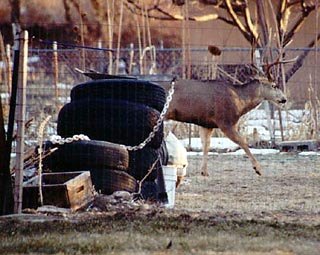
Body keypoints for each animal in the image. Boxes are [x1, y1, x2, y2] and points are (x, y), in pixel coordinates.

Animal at [159, 63, 288, 177]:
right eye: (274, 85)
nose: (284, 99)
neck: (240, 101)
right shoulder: (225, 121)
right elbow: (243, 142)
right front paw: (258, 169)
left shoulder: (206, 124)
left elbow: (206, 145)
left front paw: (204, 172)